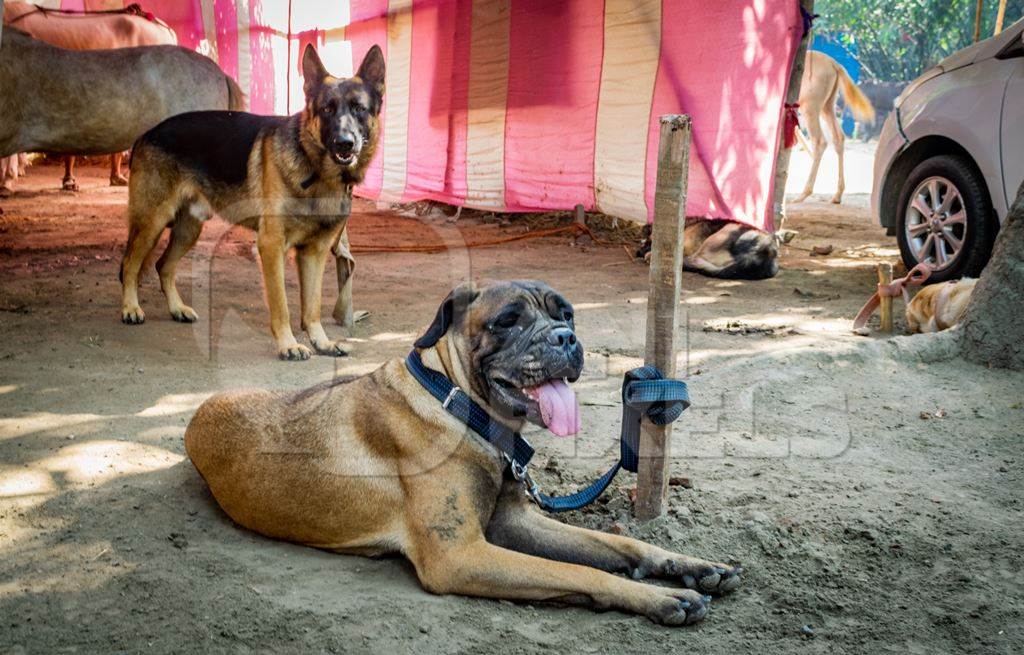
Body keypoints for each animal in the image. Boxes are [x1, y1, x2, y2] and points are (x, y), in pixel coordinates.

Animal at [119, 44, 385, 364]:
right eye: (327, 109)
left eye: (359, 109)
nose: (344, 143)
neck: (317, 172)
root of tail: (145, 134)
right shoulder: (271, 245)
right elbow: (281, 303)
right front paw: (288, 344)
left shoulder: (315, 253)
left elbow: (312, 306)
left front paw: (321, 341)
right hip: (152, 222)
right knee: (130, 264)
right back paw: (130, 308)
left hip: (188, 231)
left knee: (163, 266)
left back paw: (177, 308)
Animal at [186, 280, 745, 622]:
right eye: (508, 320)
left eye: (566, 313)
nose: (566, 337)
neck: (459, 405)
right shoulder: (461, 555)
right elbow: (582, 571)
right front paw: (661, 596)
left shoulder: (514, 523)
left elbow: (617, 544)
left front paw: (688, 566)